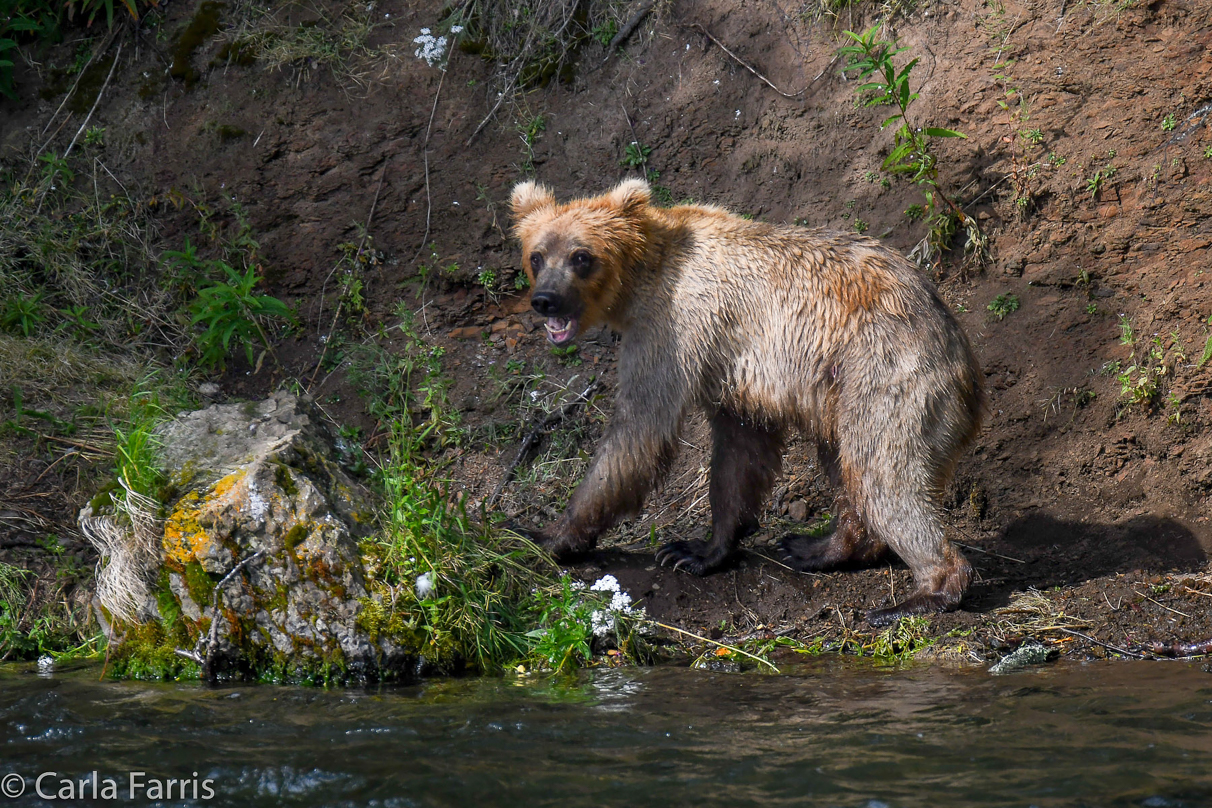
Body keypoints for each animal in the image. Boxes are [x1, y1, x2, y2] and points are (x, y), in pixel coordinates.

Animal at [509, 178, 984, 625]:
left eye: (580, 256)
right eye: (537, 256)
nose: (545, 299)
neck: (639, 280)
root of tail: (960, 350)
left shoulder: (674, 328)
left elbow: (637, 432)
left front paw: (546, 534)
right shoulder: (733, 377)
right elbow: (738, 459)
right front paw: (699, 549)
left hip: (885, 377)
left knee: (884, 475)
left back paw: (922, 593)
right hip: (842, 392)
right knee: (848, 468)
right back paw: (813, 546)